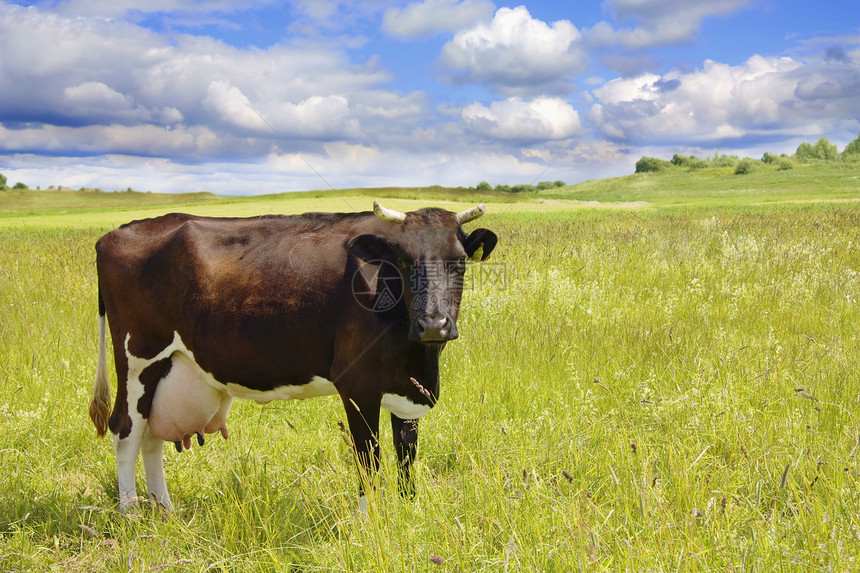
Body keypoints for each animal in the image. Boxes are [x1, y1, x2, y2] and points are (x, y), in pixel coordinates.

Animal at [89, 200, 498, 510]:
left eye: (458, 260)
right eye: (404, 260)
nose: (433, 324)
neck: (417, 355)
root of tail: (117, 232)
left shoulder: (409, 387)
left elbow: (406, 455)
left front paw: (409, 512)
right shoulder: (357, 384)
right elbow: (368, 458)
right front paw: (369, 522)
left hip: (165, 368)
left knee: (151, 438)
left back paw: (166, 512)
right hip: (138, 359)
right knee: (125, 431)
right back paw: (131, 515)